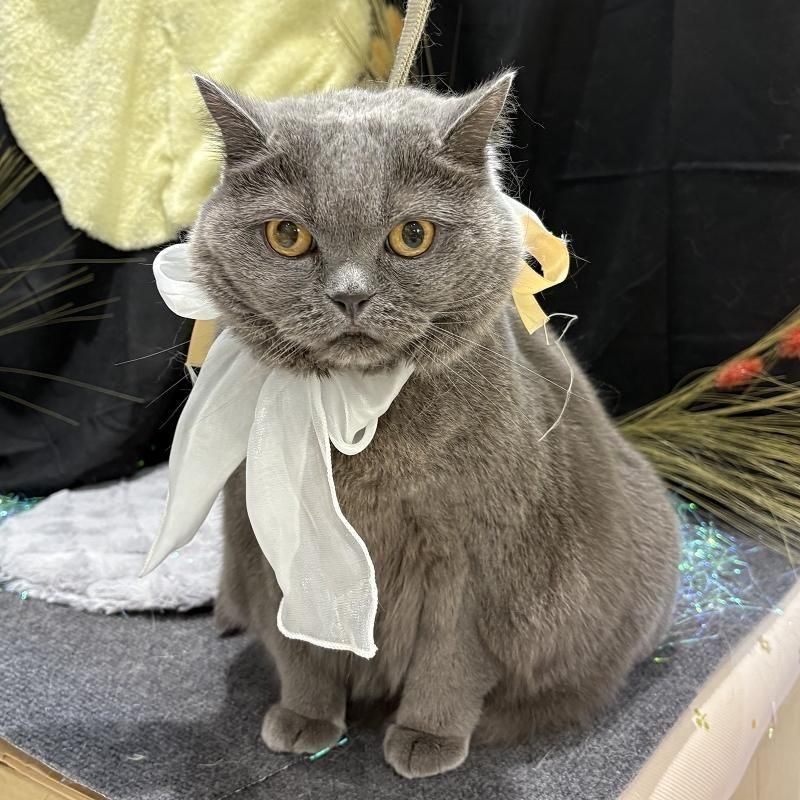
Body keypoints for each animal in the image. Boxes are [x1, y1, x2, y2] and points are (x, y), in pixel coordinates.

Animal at [188, 72, 680, 779]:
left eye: (412, 235)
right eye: (287, 235)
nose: (350, 295)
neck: (361, 410)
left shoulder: (475, 563)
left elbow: (450, 661)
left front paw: (427, 736)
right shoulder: (272, 544)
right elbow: (301, 647)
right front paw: (307, 718)